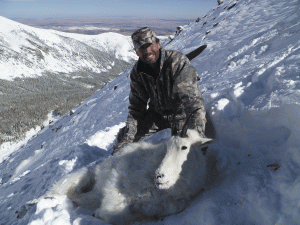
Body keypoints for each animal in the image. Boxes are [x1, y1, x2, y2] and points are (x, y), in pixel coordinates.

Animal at [42, 108, 216, 223]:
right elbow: (110, 212)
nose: (159, 176)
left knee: (78, 198)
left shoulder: (170, 205)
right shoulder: (117, 185)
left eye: (184, 147)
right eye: (167, 147)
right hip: (80, 178)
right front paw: (96, 214)